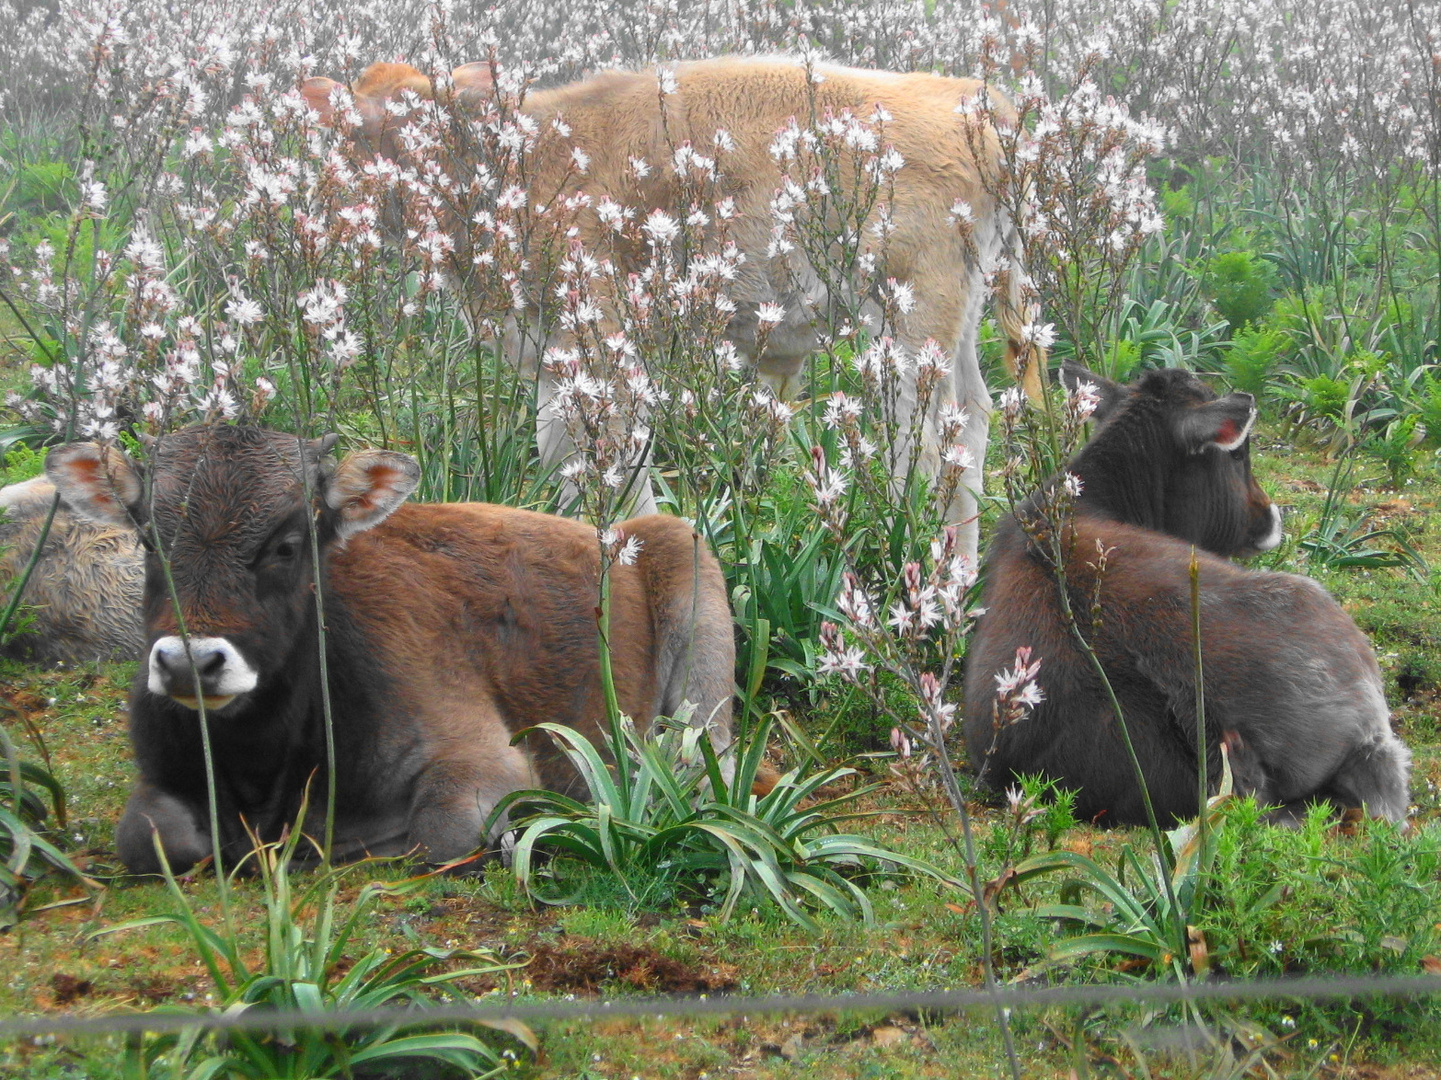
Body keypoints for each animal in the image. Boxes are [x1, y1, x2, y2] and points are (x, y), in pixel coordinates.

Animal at [45, 426, 732, 870]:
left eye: (287, 544)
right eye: (148, 540)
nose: (191, 662)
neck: (262, 767)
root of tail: (616, 533)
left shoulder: (486, 757)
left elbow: (439, 837)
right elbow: (145, 838)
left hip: (694, 614)